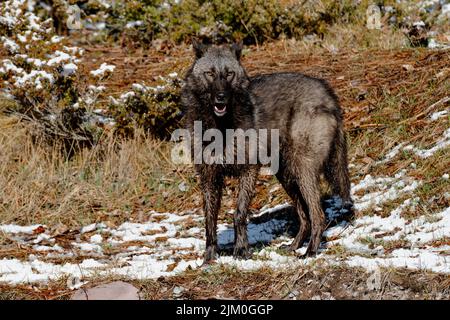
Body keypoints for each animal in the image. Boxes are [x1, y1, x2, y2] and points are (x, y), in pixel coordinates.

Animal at [181, 41, 354, 264]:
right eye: (210, 73)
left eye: (229, 74)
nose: (221, 97)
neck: (219, 126)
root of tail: (328, 92)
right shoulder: (209, 178)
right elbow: (209, 222)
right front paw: (209, 260)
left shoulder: (248, 171)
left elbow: (239, 214)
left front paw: (241, 251)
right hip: (287, 177)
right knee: (304, 216)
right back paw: (293, 247)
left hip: (302, 172)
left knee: (318, 215)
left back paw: (310, 252)